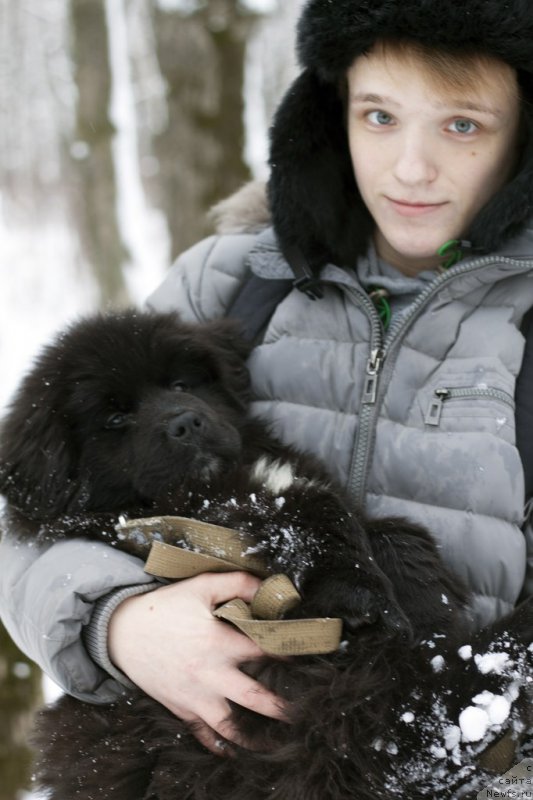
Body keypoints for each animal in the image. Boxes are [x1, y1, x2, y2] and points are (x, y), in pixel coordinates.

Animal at [0, 310, 528, 800]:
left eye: (180, 384)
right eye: (114, 419)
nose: (186, 421)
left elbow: (385, 529)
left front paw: (421, 589)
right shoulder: (212, 516)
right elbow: (315, 513)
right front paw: (362, 593)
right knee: (424, 726)